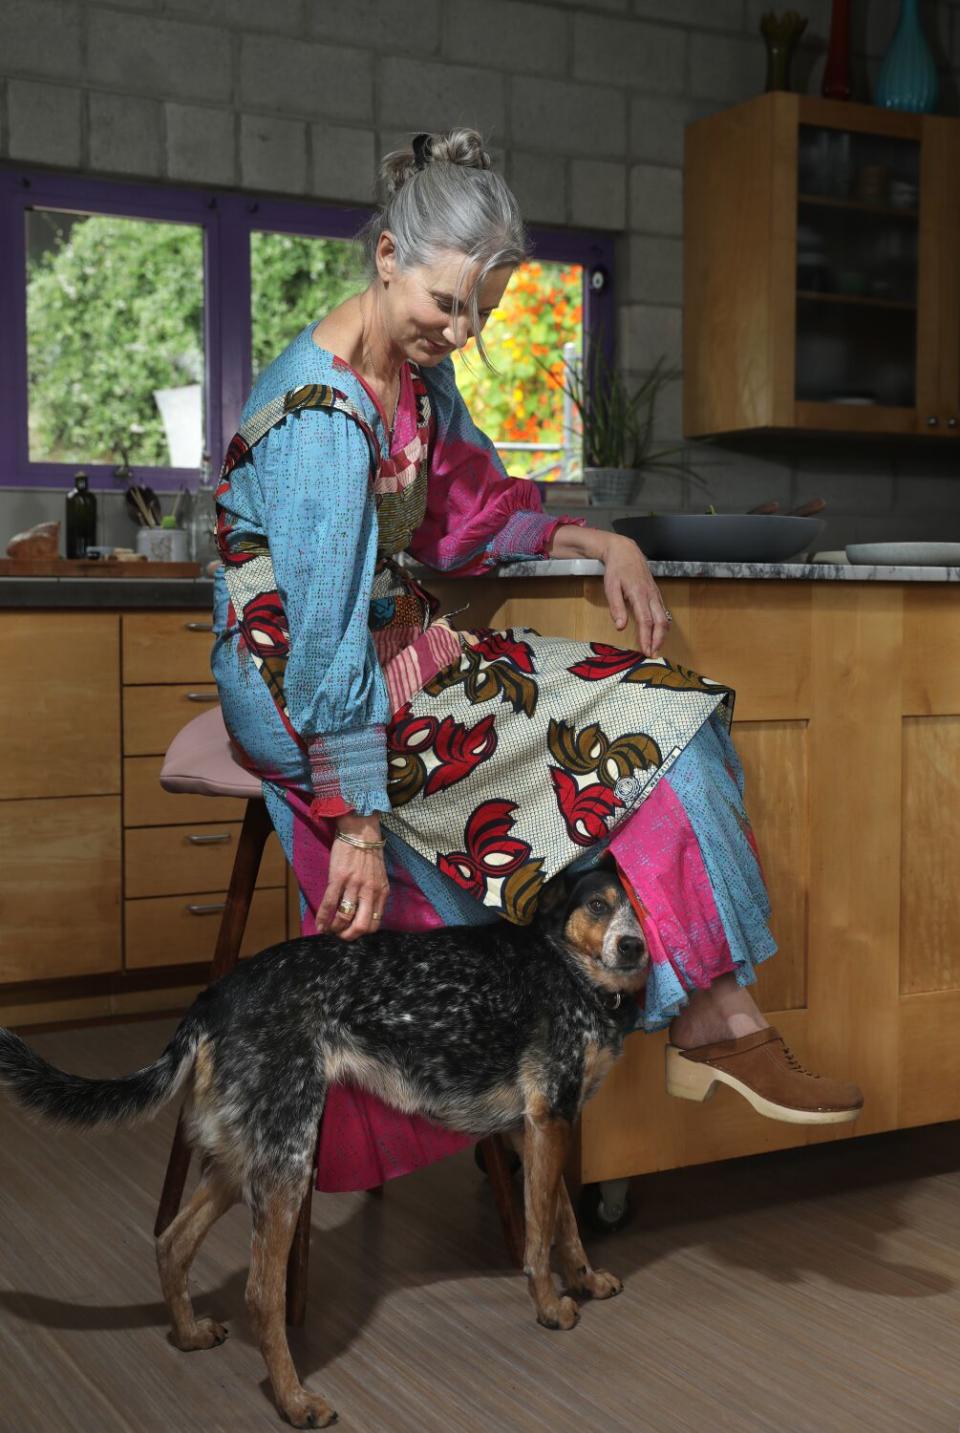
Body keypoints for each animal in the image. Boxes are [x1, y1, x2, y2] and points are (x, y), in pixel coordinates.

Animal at [0, 865, 650, 1427]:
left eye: (638, 908)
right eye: (598, 906)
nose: (633, 948)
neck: (569, 970)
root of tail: (214, 997)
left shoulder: (539, 1126)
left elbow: (563, 1219)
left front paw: (586, 1281)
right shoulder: (548, 1120)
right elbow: (540, 1236)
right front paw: (550, 1307)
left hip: (244, 1159)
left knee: (171, 1240)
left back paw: (187, 1335)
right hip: (289, 1161)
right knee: (261, 1295)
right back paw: (294, 1402)